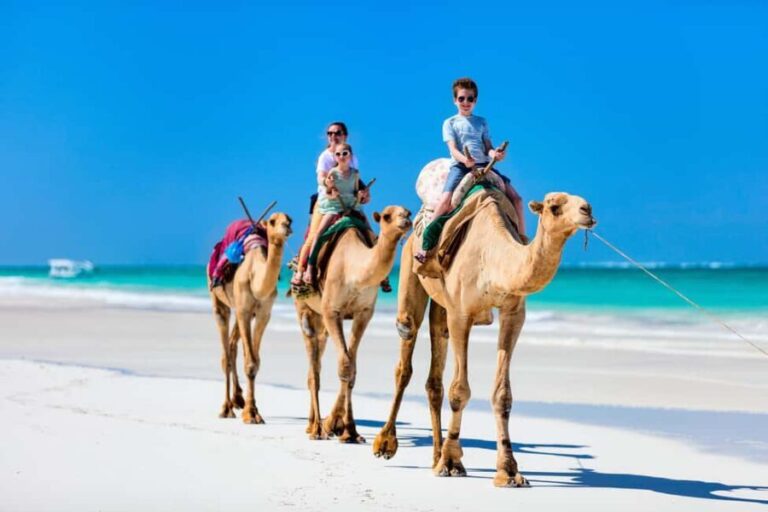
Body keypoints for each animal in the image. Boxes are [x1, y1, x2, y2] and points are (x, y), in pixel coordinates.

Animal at [208, 212, 293, 423]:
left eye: (290, 219)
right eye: (273, 221)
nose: (286, 227)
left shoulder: (262, 314)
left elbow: (254, 361)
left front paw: (252, 410)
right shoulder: (244, 310)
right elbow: (250, 361)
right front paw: (251, 414)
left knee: (232, 346)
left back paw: (238, 399)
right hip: (220, 303)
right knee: (225, 354)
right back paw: (226, 408)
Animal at [294, 205, 412, 442]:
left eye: (408, 212)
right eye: (387, 216)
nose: (405, 222)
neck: (353, 270)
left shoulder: (363, 313)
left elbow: (352, 367)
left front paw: (347, 430)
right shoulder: (332, 312)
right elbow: (345, 365)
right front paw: (337, 428)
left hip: (321, 322)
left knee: (317, 359)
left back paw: (312, 425)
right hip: (305, 310)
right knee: (313, 368)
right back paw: (316, 429)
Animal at [372, 190, 596, 487]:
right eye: (554, 206)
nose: (587, 210)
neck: (492, 259)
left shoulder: (513, 313)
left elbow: (502, 394)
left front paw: (508, 470)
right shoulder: (461, 314)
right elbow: (459, 390)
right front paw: (452, 463)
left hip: (441, 307)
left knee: (435, 372)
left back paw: (435, 456)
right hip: (411, 269)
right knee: (405, 349)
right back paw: (386, 444)